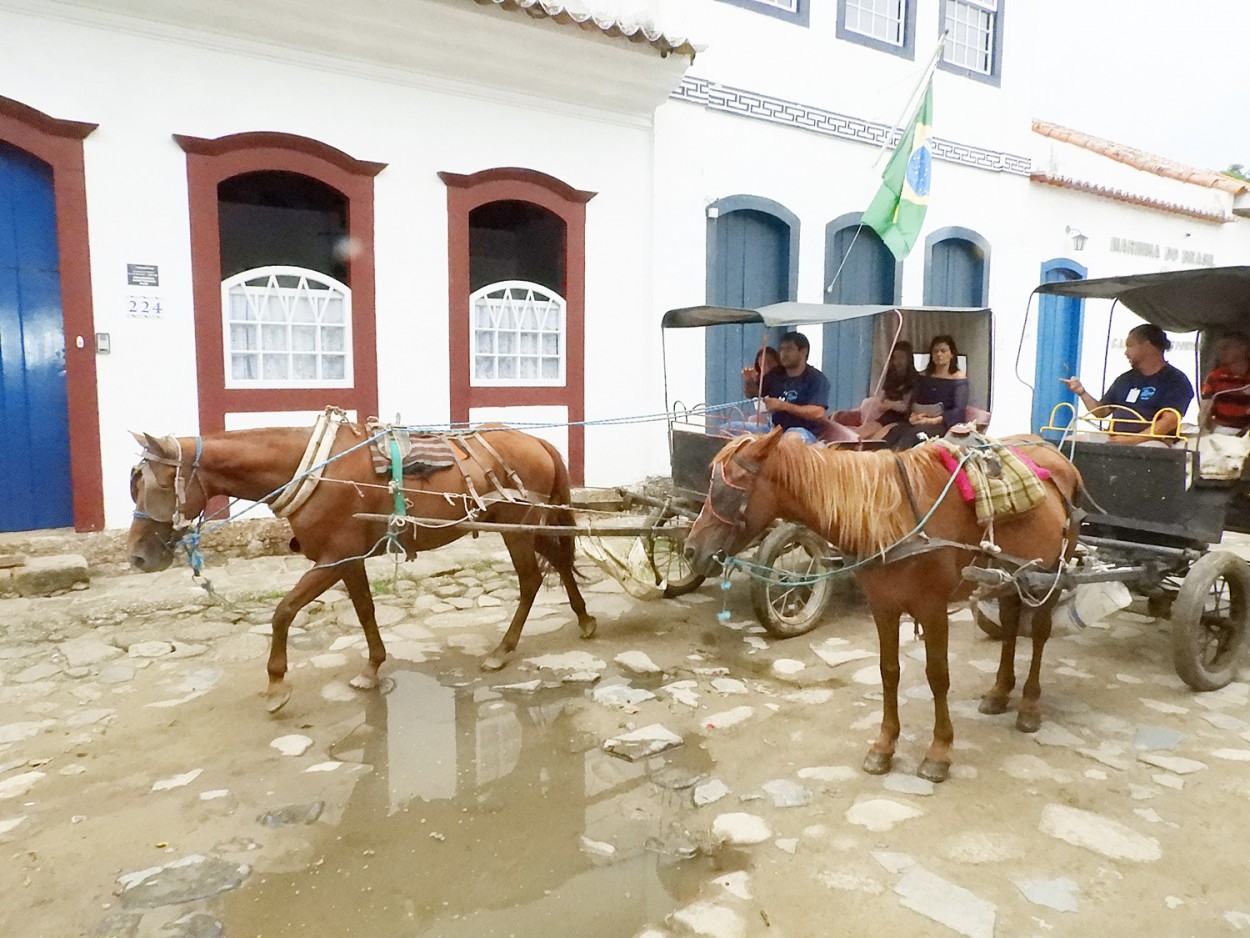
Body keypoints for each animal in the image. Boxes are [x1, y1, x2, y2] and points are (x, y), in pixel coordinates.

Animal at [126, 420, 595, 710]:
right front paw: (371, 668)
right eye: (134, 484)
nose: (137, 557)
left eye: (157, 485)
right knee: (559, 558)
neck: (313, 469)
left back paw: (503, 650)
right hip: (523, 524)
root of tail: (537, 442)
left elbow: (283, 612)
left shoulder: (332, 559)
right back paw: (584, 619)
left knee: (531, 579)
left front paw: (276, 685)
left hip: (518, 527)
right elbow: (365, 609)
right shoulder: (347, 559)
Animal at [680, 430, 1080, 780]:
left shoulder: (933, 609)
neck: (894, 517)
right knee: (1011, 622)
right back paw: (1000, 692)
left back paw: (1029, 706)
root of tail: (1055, 455)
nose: (690, 550)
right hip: (1011, 578)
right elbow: (889, 672)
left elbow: (938, 676)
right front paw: (884, 746)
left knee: (1039, 634)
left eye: (732, 487)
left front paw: (939, 752)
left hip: (1052, 575)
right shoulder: (884, 607)